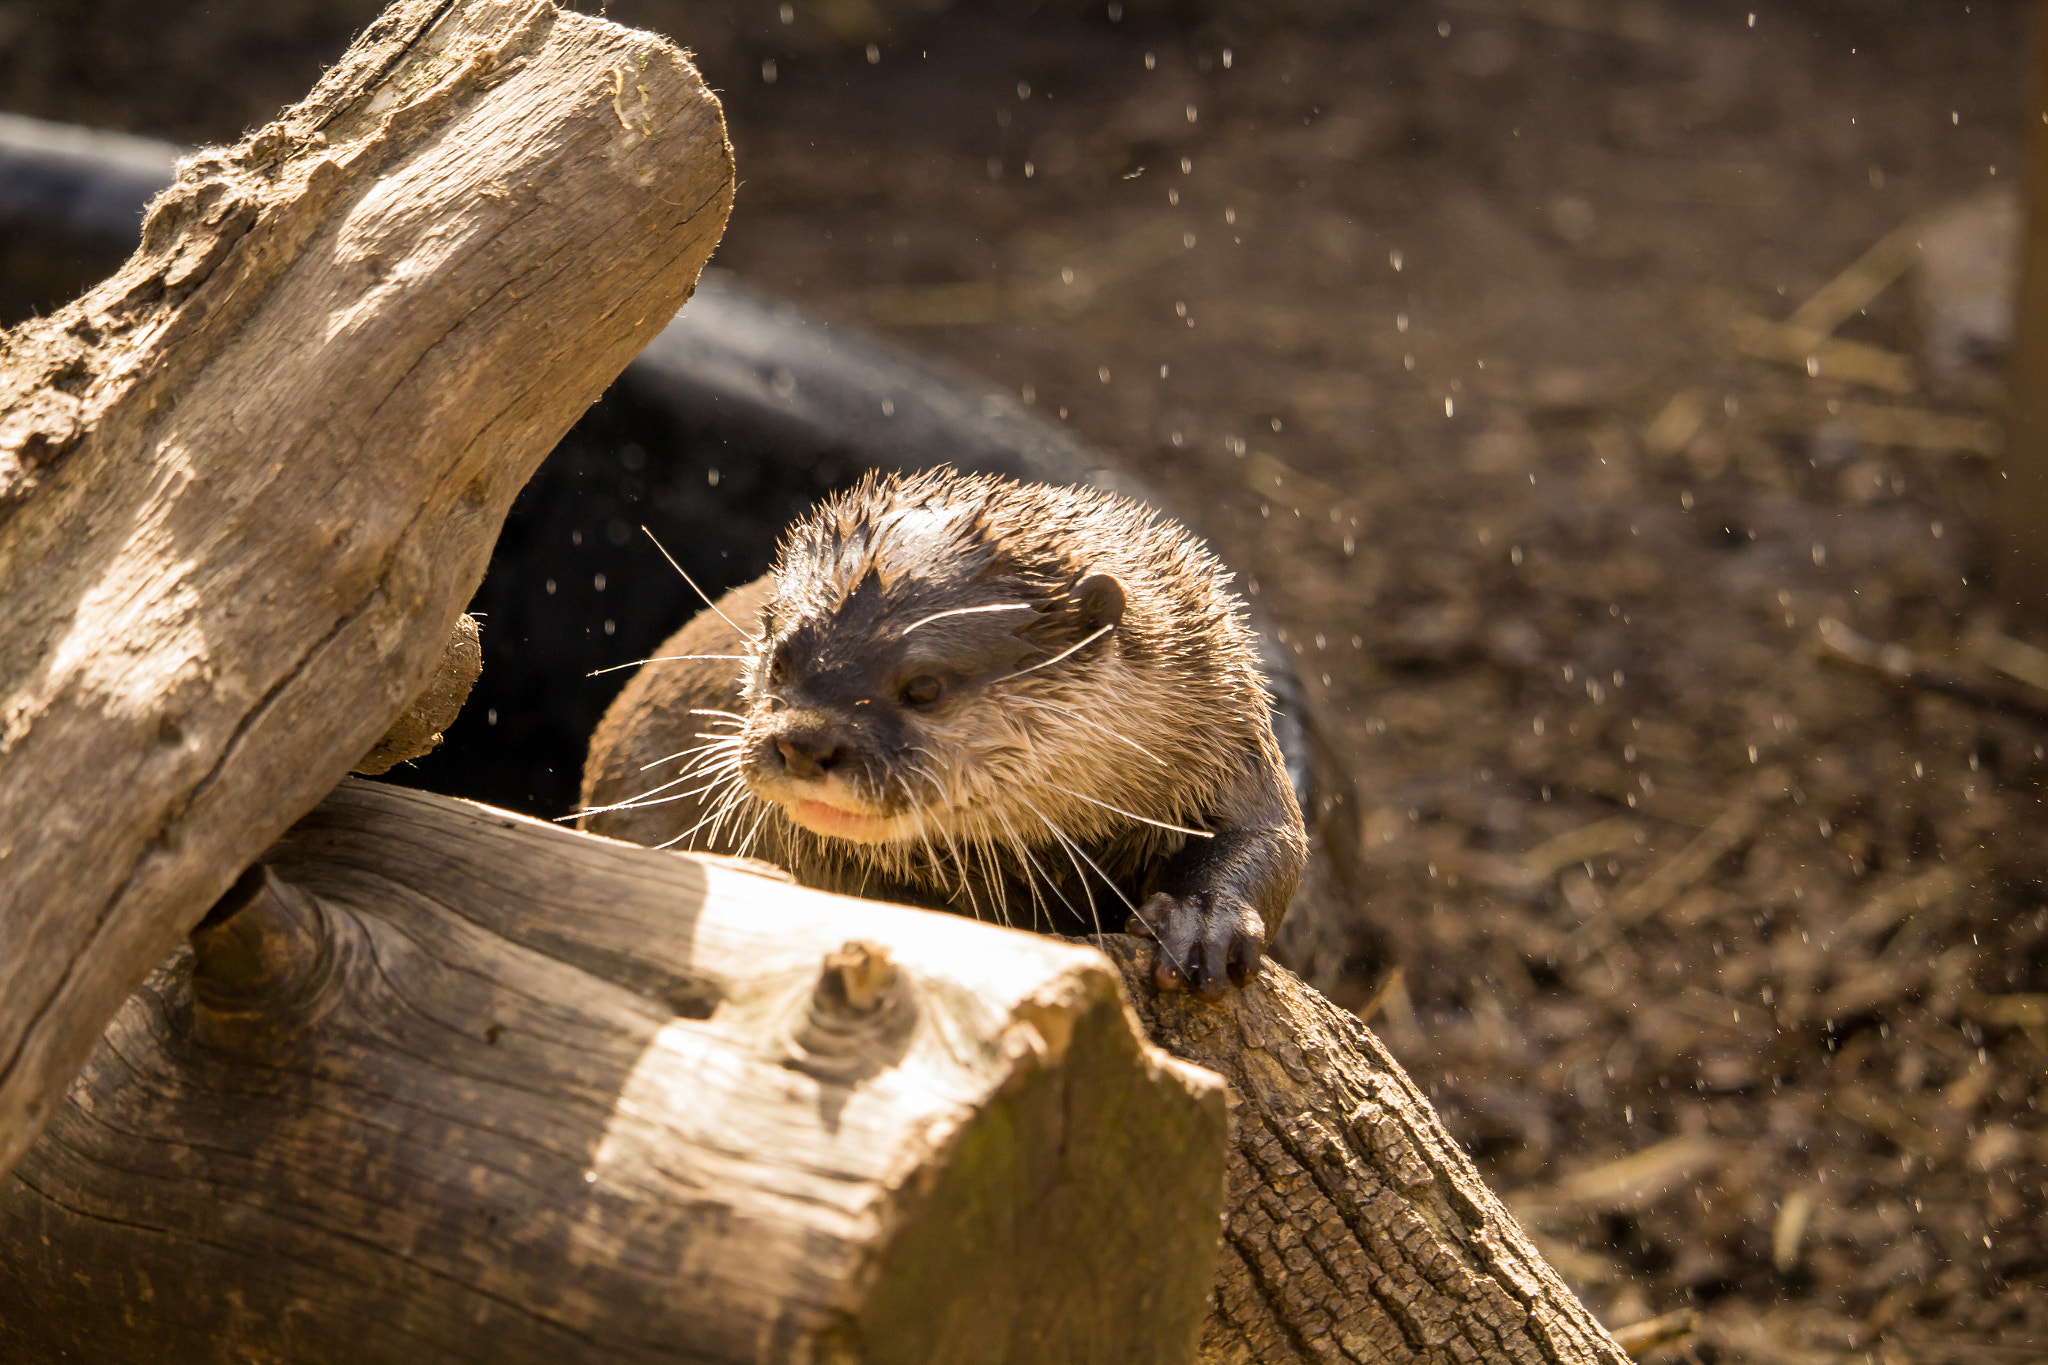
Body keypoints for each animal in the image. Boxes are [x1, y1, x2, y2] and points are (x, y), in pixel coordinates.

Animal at [579, 470, 1307, 998]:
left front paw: (1199, 924)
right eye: (780, 659)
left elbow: (1270, 832)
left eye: (924, 686)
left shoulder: (1223, 722)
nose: (804, 744)